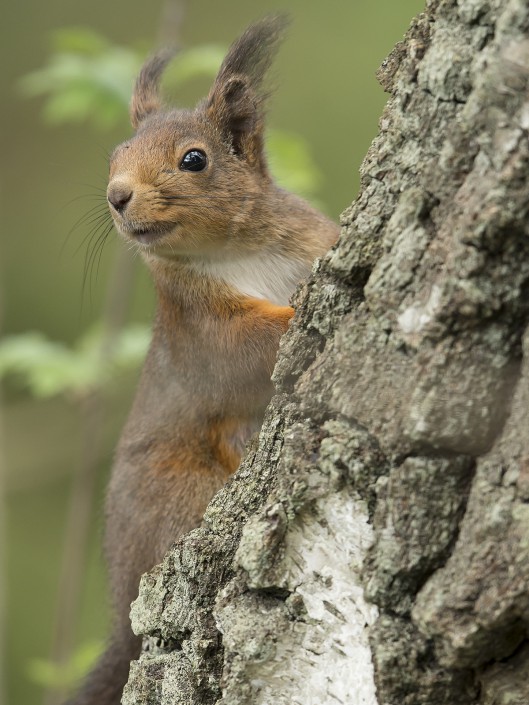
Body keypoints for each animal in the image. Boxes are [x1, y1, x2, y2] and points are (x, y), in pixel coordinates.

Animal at [67, 16, 338, 704]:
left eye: (195, 158)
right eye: (113, 158)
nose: (117, 195)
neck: (235, 251)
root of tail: (123, 623)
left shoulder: (311, 239)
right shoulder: (201, 331)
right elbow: (252, 352)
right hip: (180, 492)